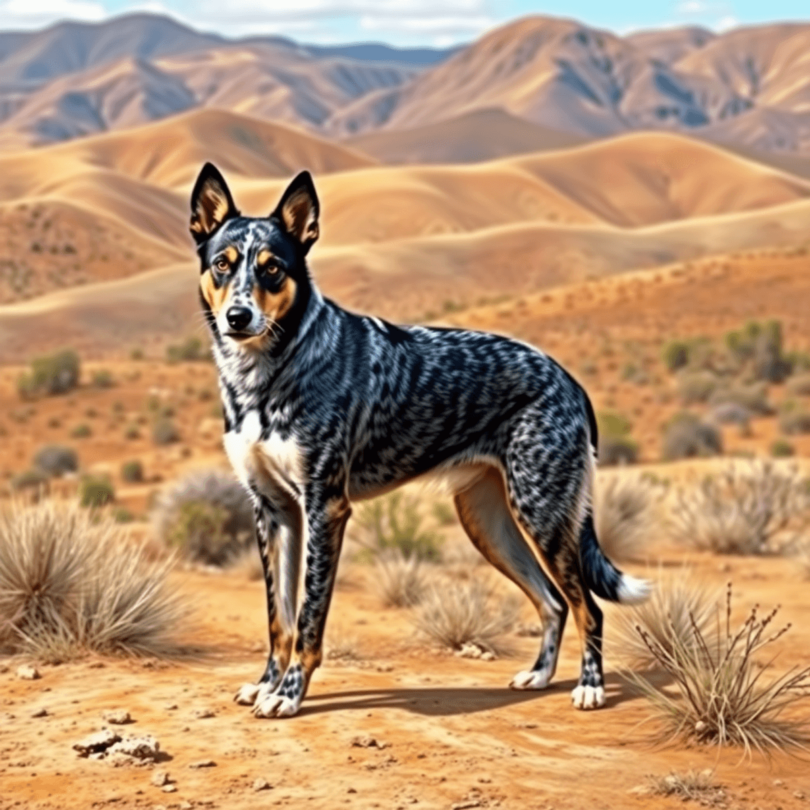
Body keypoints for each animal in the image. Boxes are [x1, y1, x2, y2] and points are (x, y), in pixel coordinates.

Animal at [186, 161, 648, 716]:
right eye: (222, 265)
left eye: (273, 268)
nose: (238, 317)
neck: (268, 372)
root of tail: (569, 380)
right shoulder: (275, 511)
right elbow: (281, 619)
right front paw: (267, 683)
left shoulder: (325, 508)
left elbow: (310, 621)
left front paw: (289, 693)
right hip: (488, 523)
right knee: (553, 601)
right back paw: (539, 675)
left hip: (542, 514)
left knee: (588, 607)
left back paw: (590, 687)